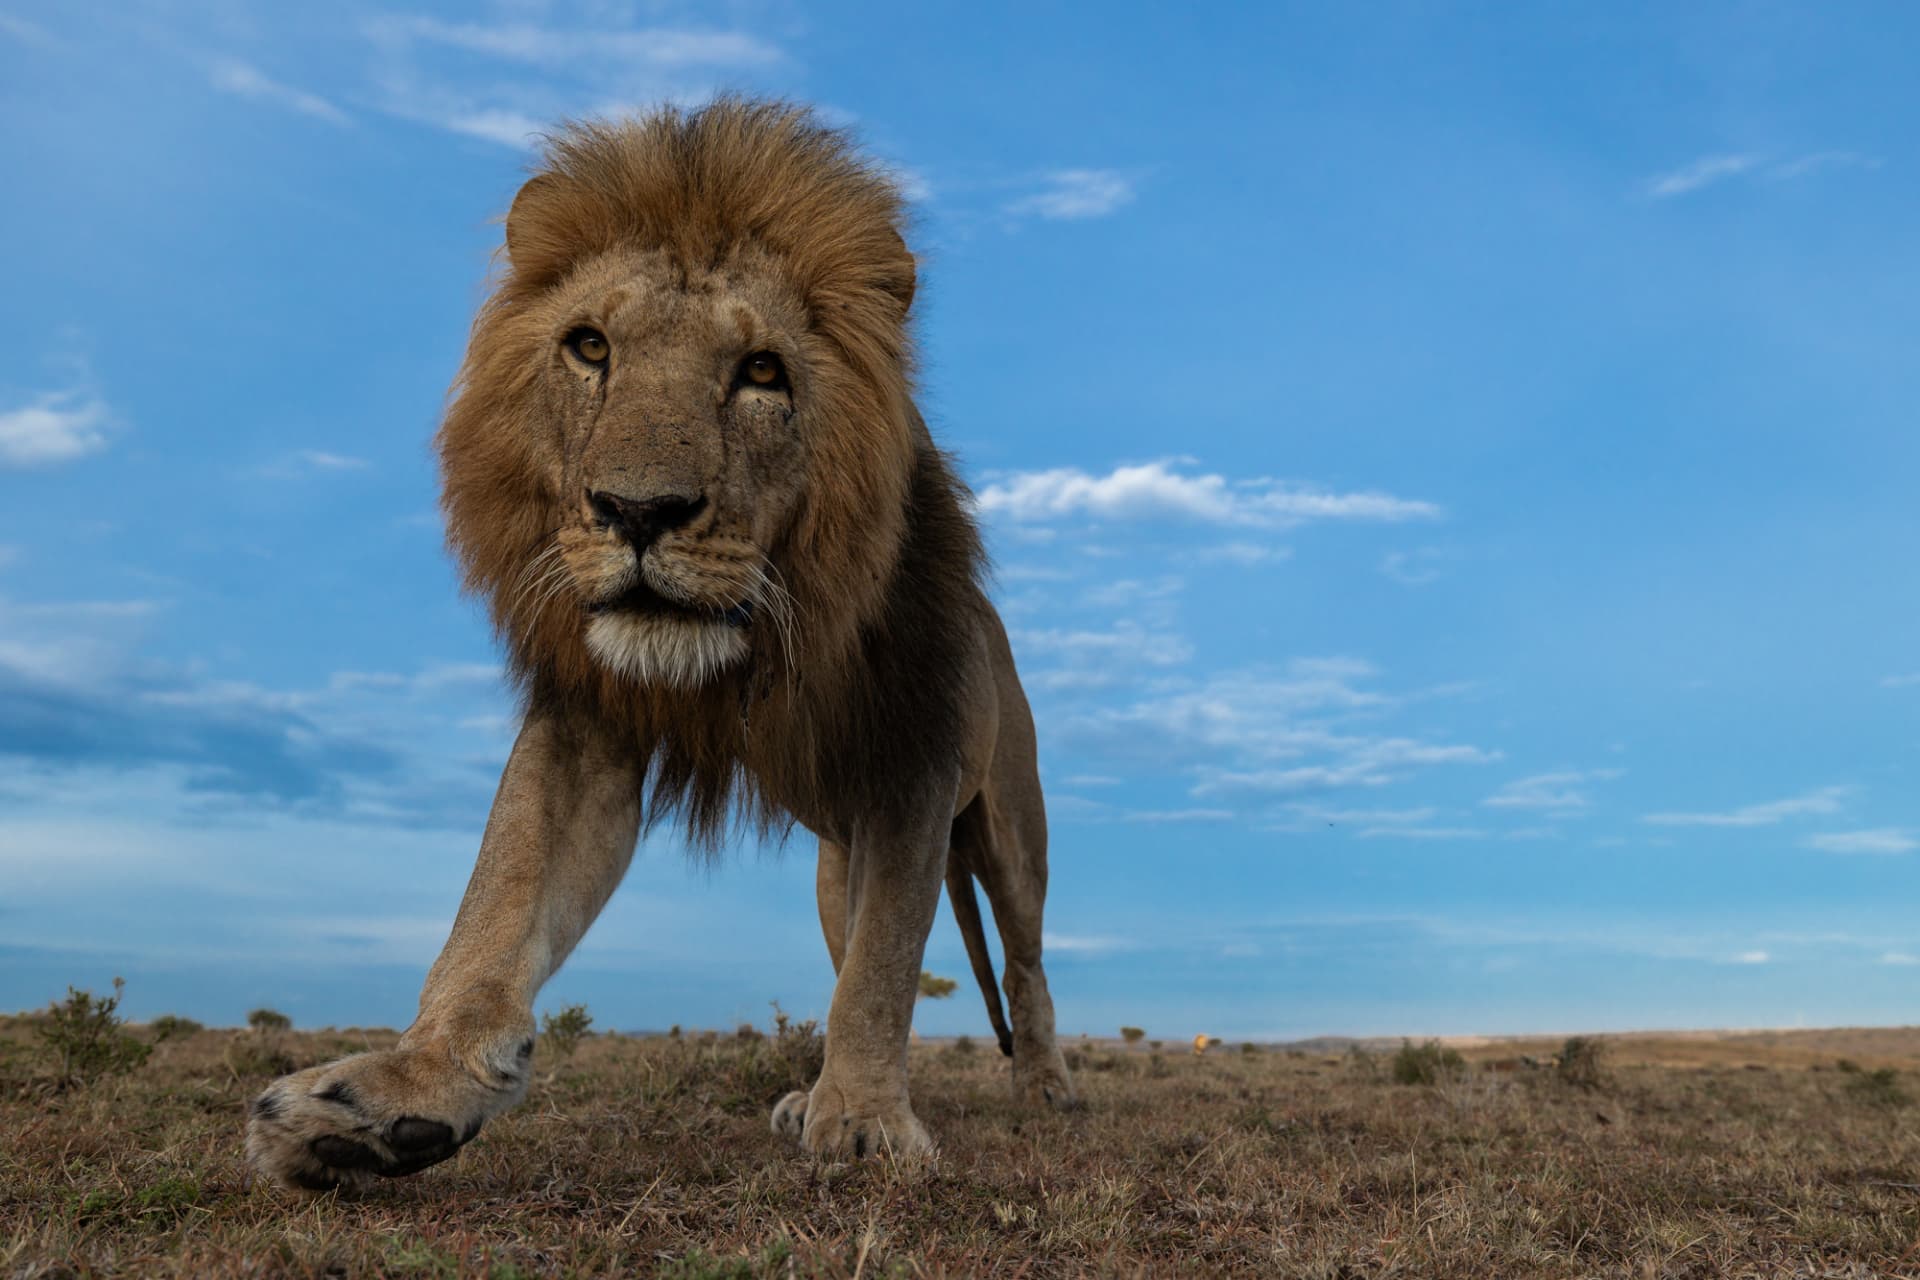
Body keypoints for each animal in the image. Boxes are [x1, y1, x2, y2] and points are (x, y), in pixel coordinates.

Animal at [244, 99, 1075, 1191]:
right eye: (590, 347)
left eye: (761, 371)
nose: (638, 512)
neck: (760, 640)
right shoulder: (589, 718)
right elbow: (496, 907)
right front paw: (398, 1092)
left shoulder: (915, 752)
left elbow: (887, 961)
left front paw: (863, 1119)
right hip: (833, 860)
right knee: (849, 931)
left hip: (1011, 822)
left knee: (1023, 960)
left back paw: (1045, 1088)